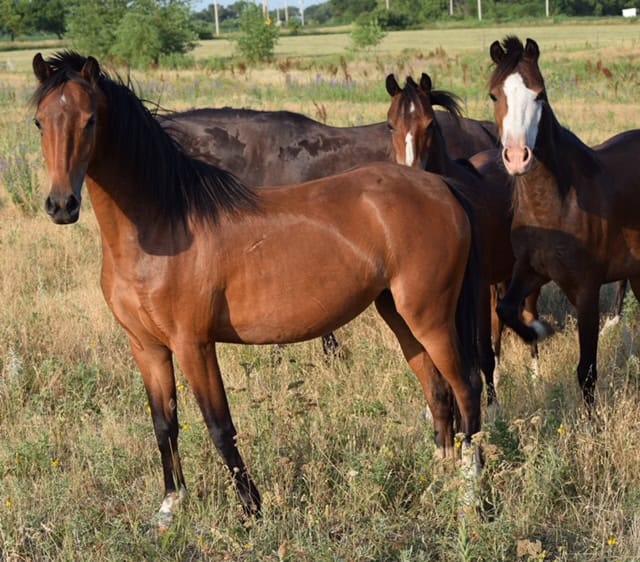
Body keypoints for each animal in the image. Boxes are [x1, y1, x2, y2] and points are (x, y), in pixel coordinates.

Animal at [31, 51, 483, 527]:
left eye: (91, 120)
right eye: (40, 122)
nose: (61, 205)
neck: (164, 226)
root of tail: (439, 187)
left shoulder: (193, 344)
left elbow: (219, 425)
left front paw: (253, 512)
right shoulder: (146, 347)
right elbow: (164, 424)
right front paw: (170, 507)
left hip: (431, 317)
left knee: (467, 388)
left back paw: (470, 500)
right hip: (399, 314)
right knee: (438, 392)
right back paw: (439, 484)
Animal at [385, 72, 540, 411]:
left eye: (430, 124)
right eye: (390, 125)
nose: (410, 174)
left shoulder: (476, 285)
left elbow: (479, 347)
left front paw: (493, 407)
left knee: (528, 314)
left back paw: (534, 374)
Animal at [488, 36, 640, 405]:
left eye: (540, 94)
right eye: (494, 95)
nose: (517, 157)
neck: (556, 203)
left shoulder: (586, 289)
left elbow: (586, 371)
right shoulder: (531, 270)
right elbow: (507, 310)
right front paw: (538, 331)